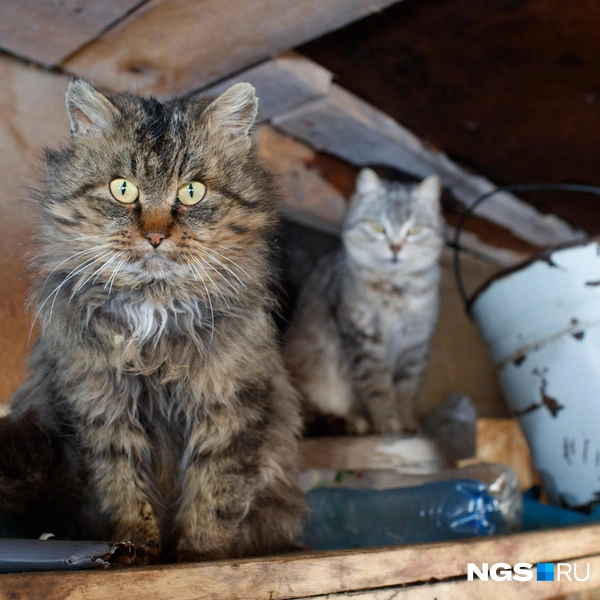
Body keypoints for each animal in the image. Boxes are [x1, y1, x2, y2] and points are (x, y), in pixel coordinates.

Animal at [6, 79, 302, 564]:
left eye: (192, 192)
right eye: (123, 189)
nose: (156, 236)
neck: (155, 308)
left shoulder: (229, 406)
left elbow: (213, 498)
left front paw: (200, 560)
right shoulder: (100, 410)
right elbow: (123, 495)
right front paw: (132, 557)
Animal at [284, 169, 442, 436]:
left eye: (414, 229)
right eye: (378, 227)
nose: (395, 248)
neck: (393, 289)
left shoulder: (415, 342)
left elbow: (407, 389)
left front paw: (406, 421)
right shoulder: (362, 334)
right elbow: (377, 385)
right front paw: (387, 422)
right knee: (313, 419)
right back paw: (353, 423)